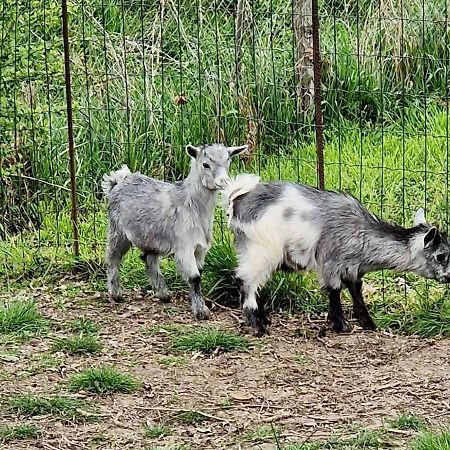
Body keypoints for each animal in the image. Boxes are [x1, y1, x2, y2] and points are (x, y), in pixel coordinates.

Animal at [102, 142, 246, 318]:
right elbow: (194, 277)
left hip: (151, 238)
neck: (191, 205)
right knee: (112, 257)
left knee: (148, 259)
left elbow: (199, 274)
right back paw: (116, 293)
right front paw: (201, 311)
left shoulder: (200, 248)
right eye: (205, 164)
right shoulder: (184, 246)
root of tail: (118, 180)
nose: (223, 181)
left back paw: (163, 294)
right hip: (118, 231)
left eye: (228, 161)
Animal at [221, 174, 450, 336]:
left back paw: (264, 319)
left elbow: (356, 291)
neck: (360, 232)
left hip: (249, 249)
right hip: (262, 249)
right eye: (441, 256)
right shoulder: (330, 263)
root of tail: (237, 201)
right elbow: (334, 290)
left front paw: (368, 324)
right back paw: (258, 326)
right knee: (245, 280)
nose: (449, 277)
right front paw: (341, 325)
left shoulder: (353, 268)